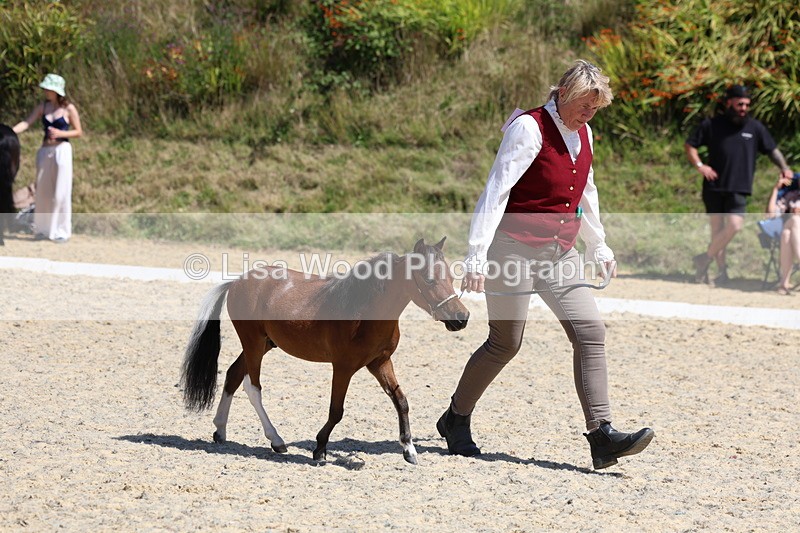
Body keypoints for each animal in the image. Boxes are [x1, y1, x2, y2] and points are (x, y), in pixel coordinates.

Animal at [181, 237, 470, 464]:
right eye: (429, 279)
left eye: (451, 277)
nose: (461, 318)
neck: (364, 311)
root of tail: (236, 282)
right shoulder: (343, 367)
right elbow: (336, 410)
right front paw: (319, 449)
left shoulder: (380, 363)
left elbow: (401, 400)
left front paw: (409, 449)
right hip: (252, 342)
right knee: (253, 387)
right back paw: (276, 440)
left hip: (263, 345)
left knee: (232, 375)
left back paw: (220, 430)